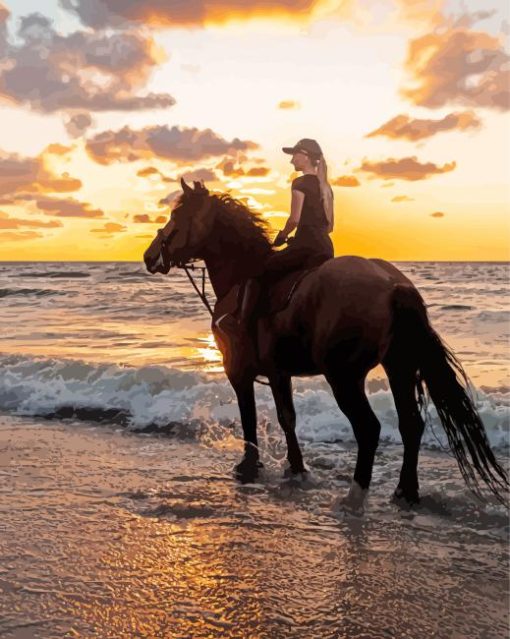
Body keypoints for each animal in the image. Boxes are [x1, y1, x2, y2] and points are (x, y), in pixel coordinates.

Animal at [142, 178, 506, 508]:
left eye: (177, 215)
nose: (148, 255)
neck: (240, 279)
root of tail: (392, 284)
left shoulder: (240, 371)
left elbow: (254, 417)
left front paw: (252, 466)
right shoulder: (280, 373)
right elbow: (287, 418)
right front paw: (295, 469)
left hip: (344, 376)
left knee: (369, 428)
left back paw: (355, 495)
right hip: (398, 368)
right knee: (410, 424)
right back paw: (405, 492)